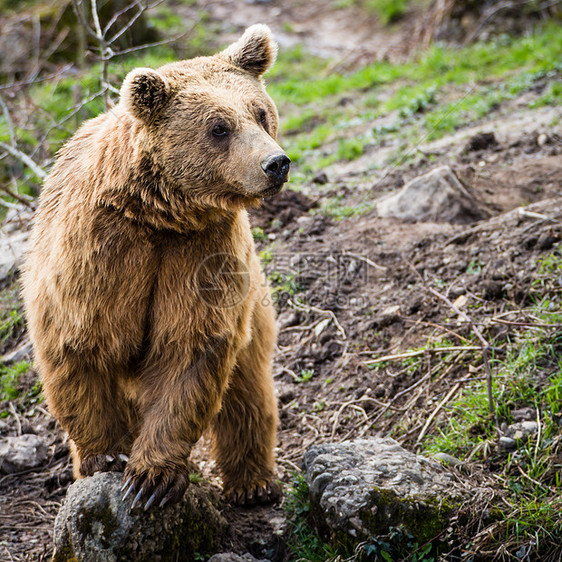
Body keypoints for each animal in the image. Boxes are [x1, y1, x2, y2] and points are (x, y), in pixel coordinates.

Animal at [21, 25, 288, 508]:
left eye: (260, 113)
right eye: (219, 127)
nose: (275, 163)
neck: (161, 214)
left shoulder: (202, 254)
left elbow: (190, 348)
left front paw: (151, 479)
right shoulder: (99, 254)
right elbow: (78, 344)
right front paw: (106, 456)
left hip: (252, 299)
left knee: (248, 387)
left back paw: (254, 483)